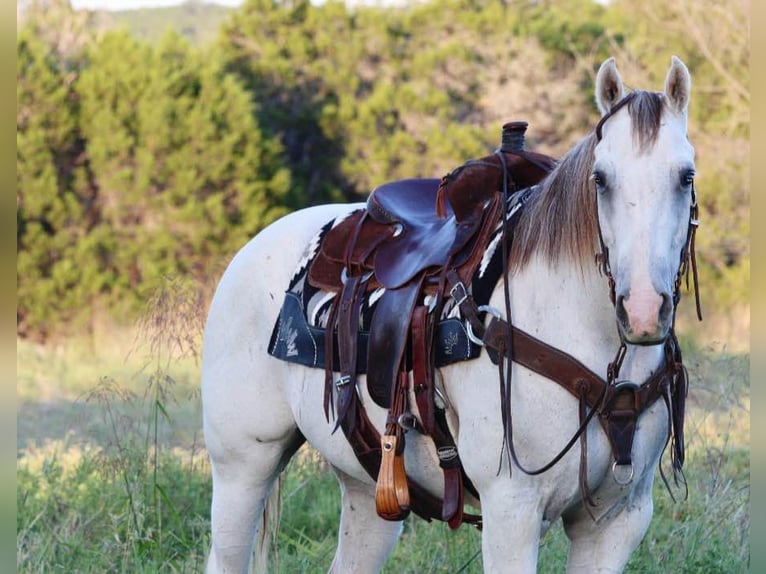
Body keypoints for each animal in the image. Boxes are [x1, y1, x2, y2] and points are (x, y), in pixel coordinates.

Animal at [201, 56, 698, 573]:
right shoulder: (512, 509)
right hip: (242, 468)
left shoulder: (617, 521)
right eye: (600, 178)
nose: (643, 311)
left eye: (686, 176)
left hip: (368, 490)